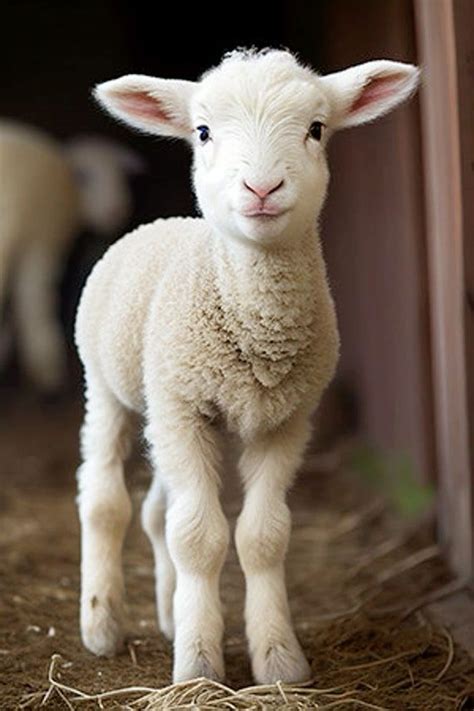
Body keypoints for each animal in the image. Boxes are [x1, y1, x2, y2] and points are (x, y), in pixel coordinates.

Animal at [75, 48, 419, 684]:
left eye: (316, 129)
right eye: (203, 132)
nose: (262, 186)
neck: (257, 333)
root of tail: (164, 221)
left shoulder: (285, 421)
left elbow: (262, 536)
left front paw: (280, 660)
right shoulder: (183, 408)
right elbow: (197, 537)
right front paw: (199, 667)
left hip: (170, 411)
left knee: (157, 511)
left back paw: (169, 614)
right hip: (111, 386)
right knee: (105, 499)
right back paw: (102, 622)